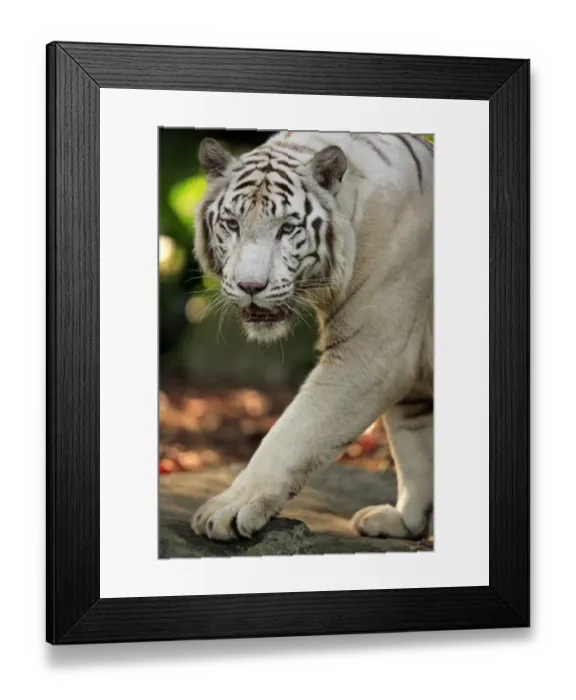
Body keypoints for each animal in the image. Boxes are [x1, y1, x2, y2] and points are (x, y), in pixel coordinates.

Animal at [191, 130, 434, 543]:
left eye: (287, 228)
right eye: (233, 224)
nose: (251, 286)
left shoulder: (369, 355)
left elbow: (290, 435)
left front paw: (229, 508)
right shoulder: (410, 371)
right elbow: (416, 447)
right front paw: (406, 521)